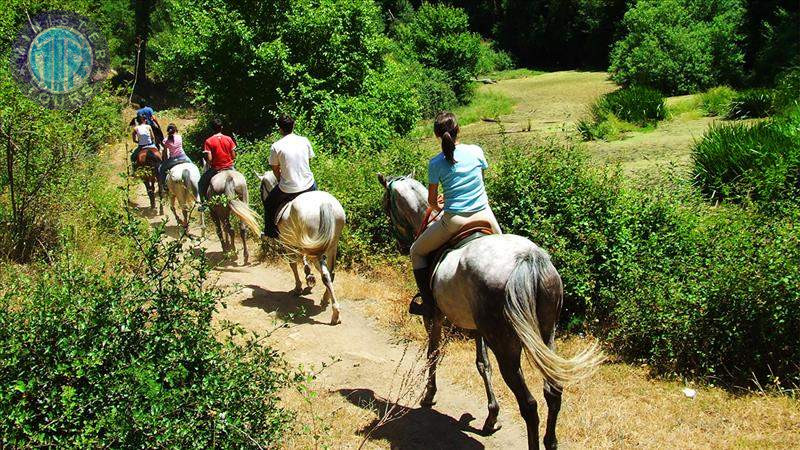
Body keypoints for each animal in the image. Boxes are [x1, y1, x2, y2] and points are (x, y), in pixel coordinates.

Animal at [256, 171, 344, 324]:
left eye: (262, 188)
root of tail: (325, 204)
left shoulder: (287, 243)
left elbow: (292, 264)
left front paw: (298, 287)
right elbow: (304, 261)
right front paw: (309, 275)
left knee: (325, 274)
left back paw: (335, 313)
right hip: (331, 245)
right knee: (331, 272)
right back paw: (326, 299)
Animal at [378, 173, 604, 450]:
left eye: (387, 206)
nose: (402, 245)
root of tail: (527, 259)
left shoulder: (435, 317)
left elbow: (433, 353)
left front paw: (429, 395)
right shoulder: (478, 328)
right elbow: (482, 363)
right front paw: (491, 416)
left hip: (505, 345)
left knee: (529, 405)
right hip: (546, 334)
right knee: (553, 391)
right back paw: (550, 441)